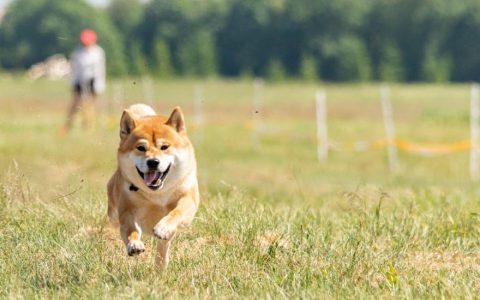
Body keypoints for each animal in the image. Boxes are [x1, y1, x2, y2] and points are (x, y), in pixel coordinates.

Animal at [107, 103, 199, 270]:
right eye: (141, 148)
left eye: (164, 147)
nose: (153, 162)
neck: (157, 195)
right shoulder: (127, 210)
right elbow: (130, 229)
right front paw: (134, 244)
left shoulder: (188, 199)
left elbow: (177, 212)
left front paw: (164, 227)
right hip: (113, 213)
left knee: (163, 247)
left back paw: (160, 266)